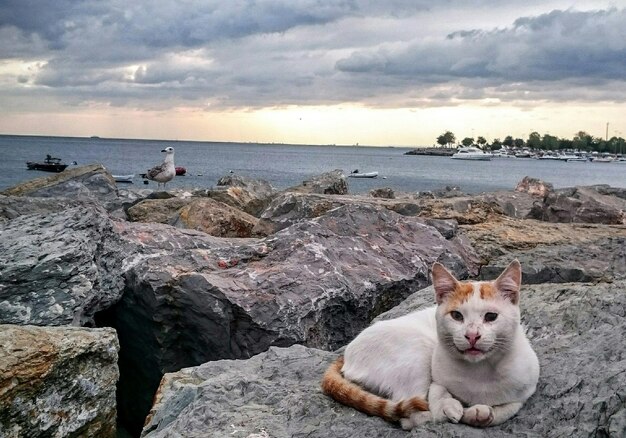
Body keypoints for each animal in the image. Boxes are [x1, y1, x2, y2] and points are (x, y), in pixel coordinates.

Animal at [322, 260, 536, 428]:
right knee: (409, 416)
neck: (480, 371)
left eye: (491, 317)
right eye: (456, 316)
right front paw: (452, 408)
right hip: (419, 351)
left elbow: (506, 410)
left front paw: (480, 414)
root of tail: (345, 354)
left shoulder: (524, 392)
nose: (472, 335)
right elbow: (438, 393)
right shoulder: (435, 380)